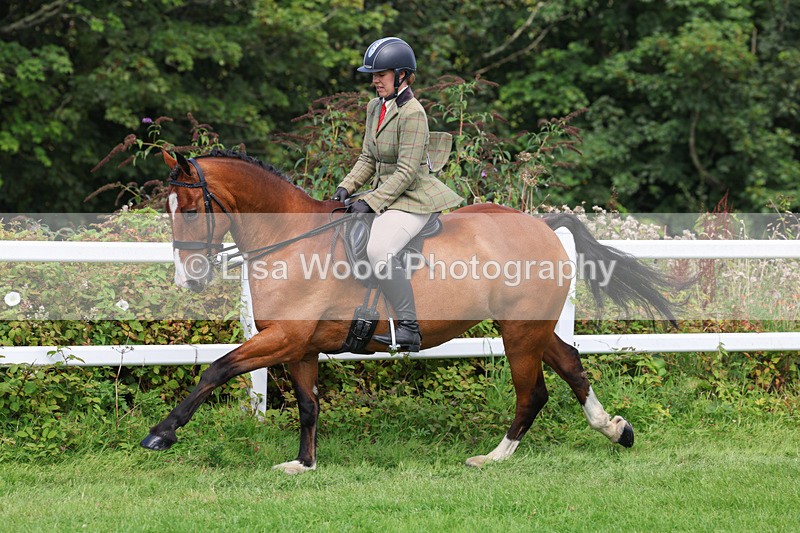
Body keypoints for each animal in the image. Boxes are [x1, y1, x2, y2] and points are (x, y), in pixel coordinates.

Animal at [141, 148, 676, 473]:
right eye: (167, 209)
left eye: (192, 209)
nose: (189, 279)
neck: (288, 239)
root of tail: (542, 226)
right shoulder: (299, 345)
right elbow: (309, 405)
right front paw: (304, 465)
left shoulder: (284, 339)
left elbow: (216, 369)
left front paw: (161, 434)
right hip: (531, 328)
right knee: (571, 363)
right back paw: (616, 430)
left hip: (520, 332)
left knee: (533, 393)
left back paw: (493, 457)